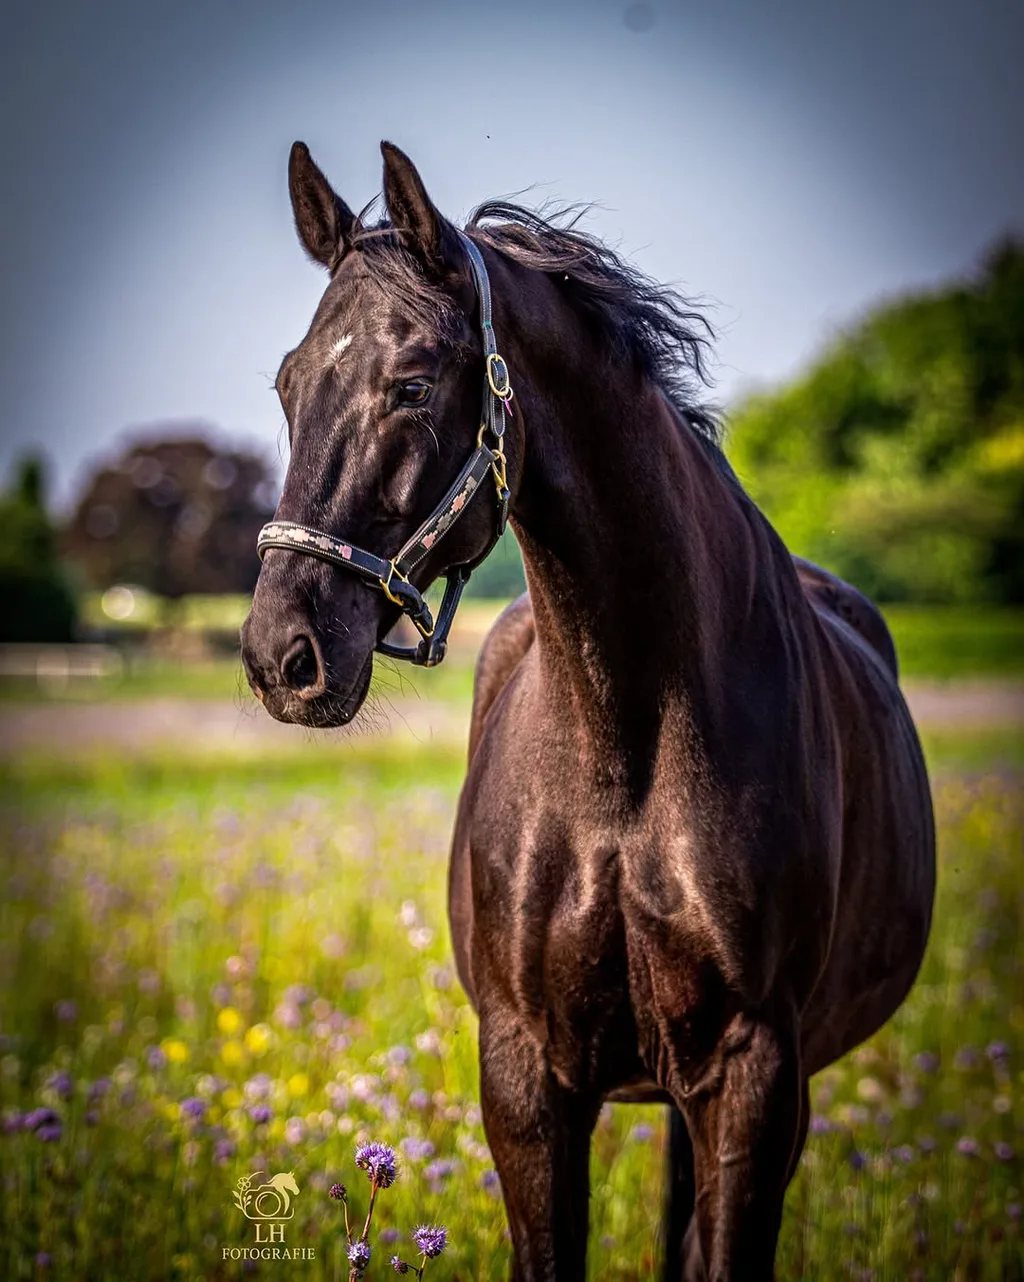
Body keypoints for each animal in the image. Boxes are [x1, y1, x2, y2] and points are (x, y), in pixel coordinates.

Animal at [240, 140, 936, 1280]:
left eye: (411, 382)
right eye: (290, 382)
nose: (279, 656)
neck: (627, 755)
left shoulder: (754, 1076)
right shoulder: (528, 1074)